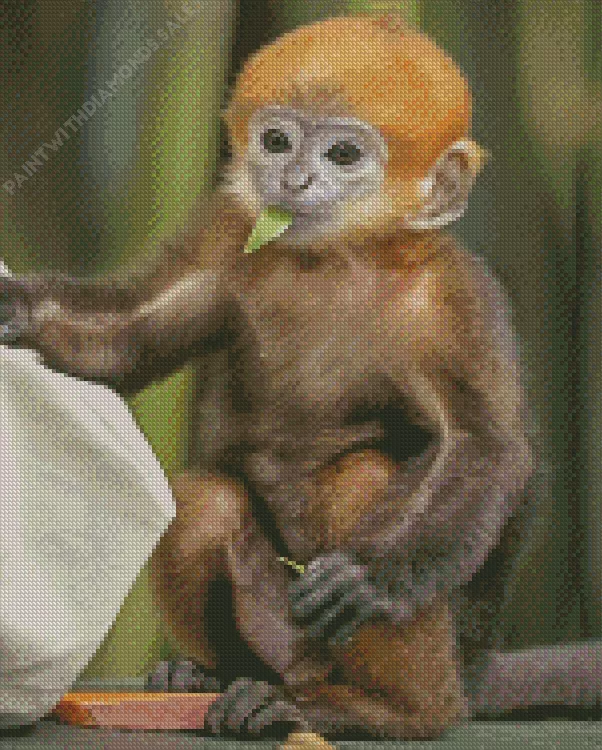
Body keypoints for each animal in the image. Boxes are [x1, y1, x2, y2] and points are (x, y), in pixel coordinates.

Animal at [0, 14, 599, 740]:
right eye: (277, 140)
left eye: (342, 154)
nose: (293, 178)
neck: (333, 262)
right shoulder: (230, 231)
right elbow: (131, 336)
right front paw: (17, 308)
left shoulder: (458, 301)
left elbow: (485, 446)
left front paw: (368, 578)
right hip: (273, 625)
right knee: (204, 502)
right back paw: (215, 676)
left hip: (359, 647)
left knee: (360, 478)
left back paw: (384, 710)